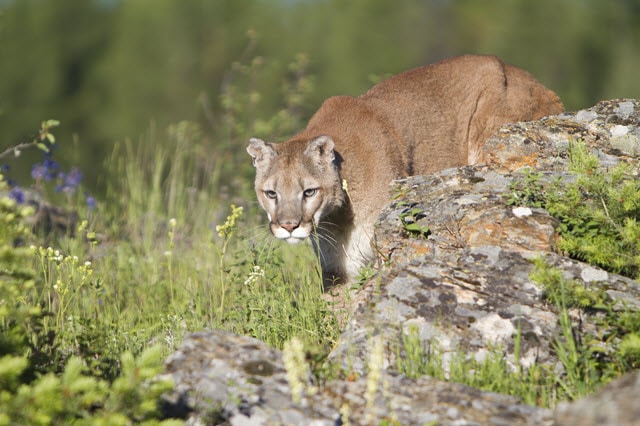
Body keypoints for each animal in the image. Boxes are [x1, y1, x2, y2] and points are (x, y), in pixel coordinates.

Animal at [248, 54, 564, 286]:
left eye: (309, 192)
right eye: (271, 193)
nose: (289, 226)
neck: (336, 216)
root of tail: (539, 83)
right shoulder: (337, 267)